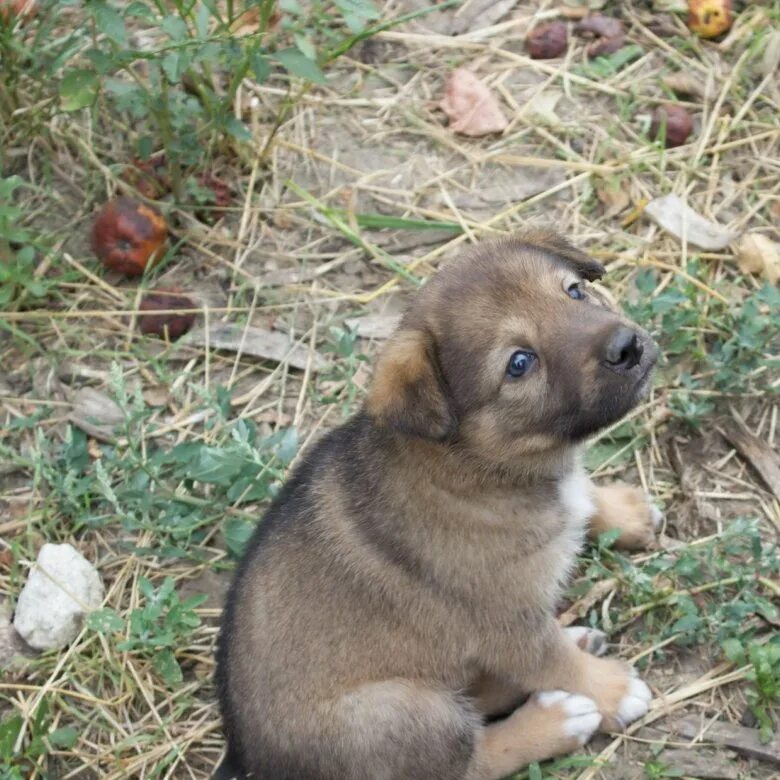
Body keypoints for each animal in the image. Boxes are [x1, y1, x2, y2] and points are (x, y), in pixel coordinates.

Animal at [216, 232, 660, 780]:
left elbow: (585, 498)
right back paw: (557, 719)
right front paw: (612, 690)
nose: (628, 346)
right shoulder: (508, 623)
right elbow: (555, 661)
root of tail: (249, 763)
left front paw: (623, 512)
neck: (481, 468)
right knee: (474, 760)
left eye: (574, 291)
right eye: (519, 363)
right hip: (404, 712)